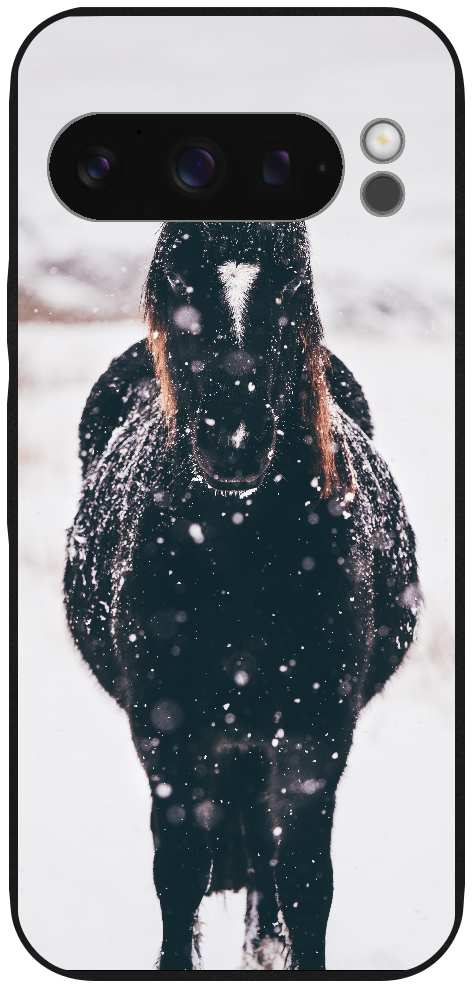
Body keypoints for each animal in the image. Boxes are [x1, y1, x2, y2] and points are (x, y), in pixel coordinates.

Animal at [65, 221, 419, 971]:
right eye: (178, 279)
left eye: (290, 283)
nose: (233, 440)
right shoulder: (167, 731)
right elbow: (179, 870)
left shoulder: (317, 731)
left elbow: (307, 877)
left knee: (263, 837)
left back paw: (263, 939)